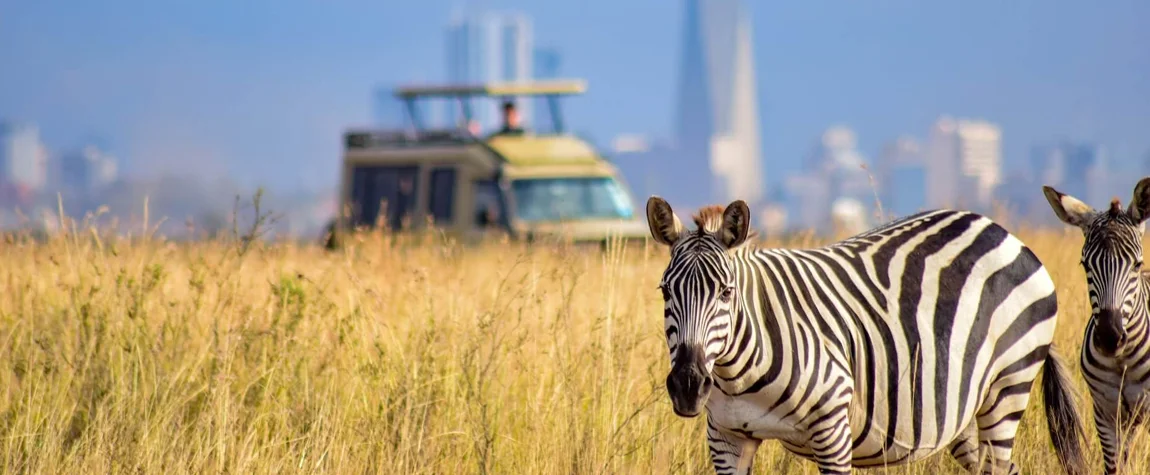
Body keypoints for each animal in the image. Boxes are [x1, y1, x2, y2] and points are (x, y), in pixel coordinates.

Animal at [648, 194, 1085, 471]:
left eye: (726, 292)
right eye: (665, 291)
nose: (688, 386)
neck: (737, 374)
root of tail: (1000, 230)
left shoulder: (831, 430)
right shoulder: (726, 436)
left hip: (1007, 387)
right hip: (962, 414)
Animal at [1048, 175, 1150, 471]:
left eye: (1137, 264)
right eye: (1085, 265)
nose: (1109, 337)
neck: (1122, 360)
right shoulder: (1104, 412)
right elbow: (1115, 466)